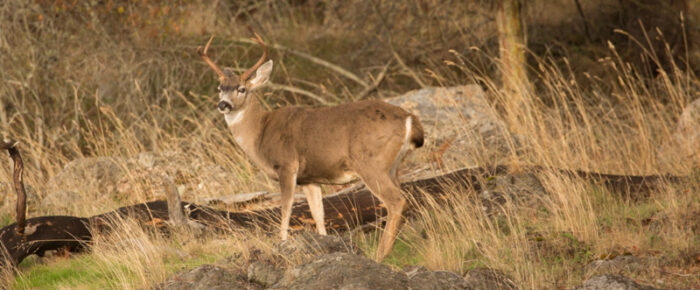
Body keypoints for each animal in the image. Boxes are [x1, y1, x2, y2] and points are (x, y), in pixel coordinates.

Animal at [200, 34, 424, 260]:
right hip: (393, 166)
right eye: (220, 89)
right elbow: (318, 214)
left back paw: (380, 254)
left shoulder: (287, 165)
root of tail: (408, 118)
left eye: (242, 88)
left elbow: (286, 210)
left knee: (396, 201)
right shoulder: (310, 179)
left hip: (370, 162)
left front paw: (282, 244)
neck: (260, 133)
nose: (223, 105)